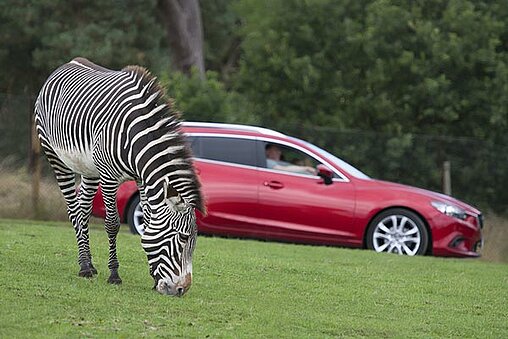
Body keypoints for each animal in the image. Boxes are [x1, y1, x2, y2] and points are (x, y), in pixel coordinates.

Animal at [34, 58, 206, 298]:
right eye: (183, 237)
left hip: (89, 169)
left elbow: (148, 224)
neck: (135, 140)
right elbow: (112, 223)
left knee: (83, 210)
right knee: (73, 211)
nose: (182, 290)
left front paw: (154, 277)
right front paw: (114, 274)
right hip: (56, 157)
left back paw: (89, 264)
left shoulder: (142, 180)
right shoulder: (109, 177)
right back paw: (84, 267)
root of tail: (68, 63)